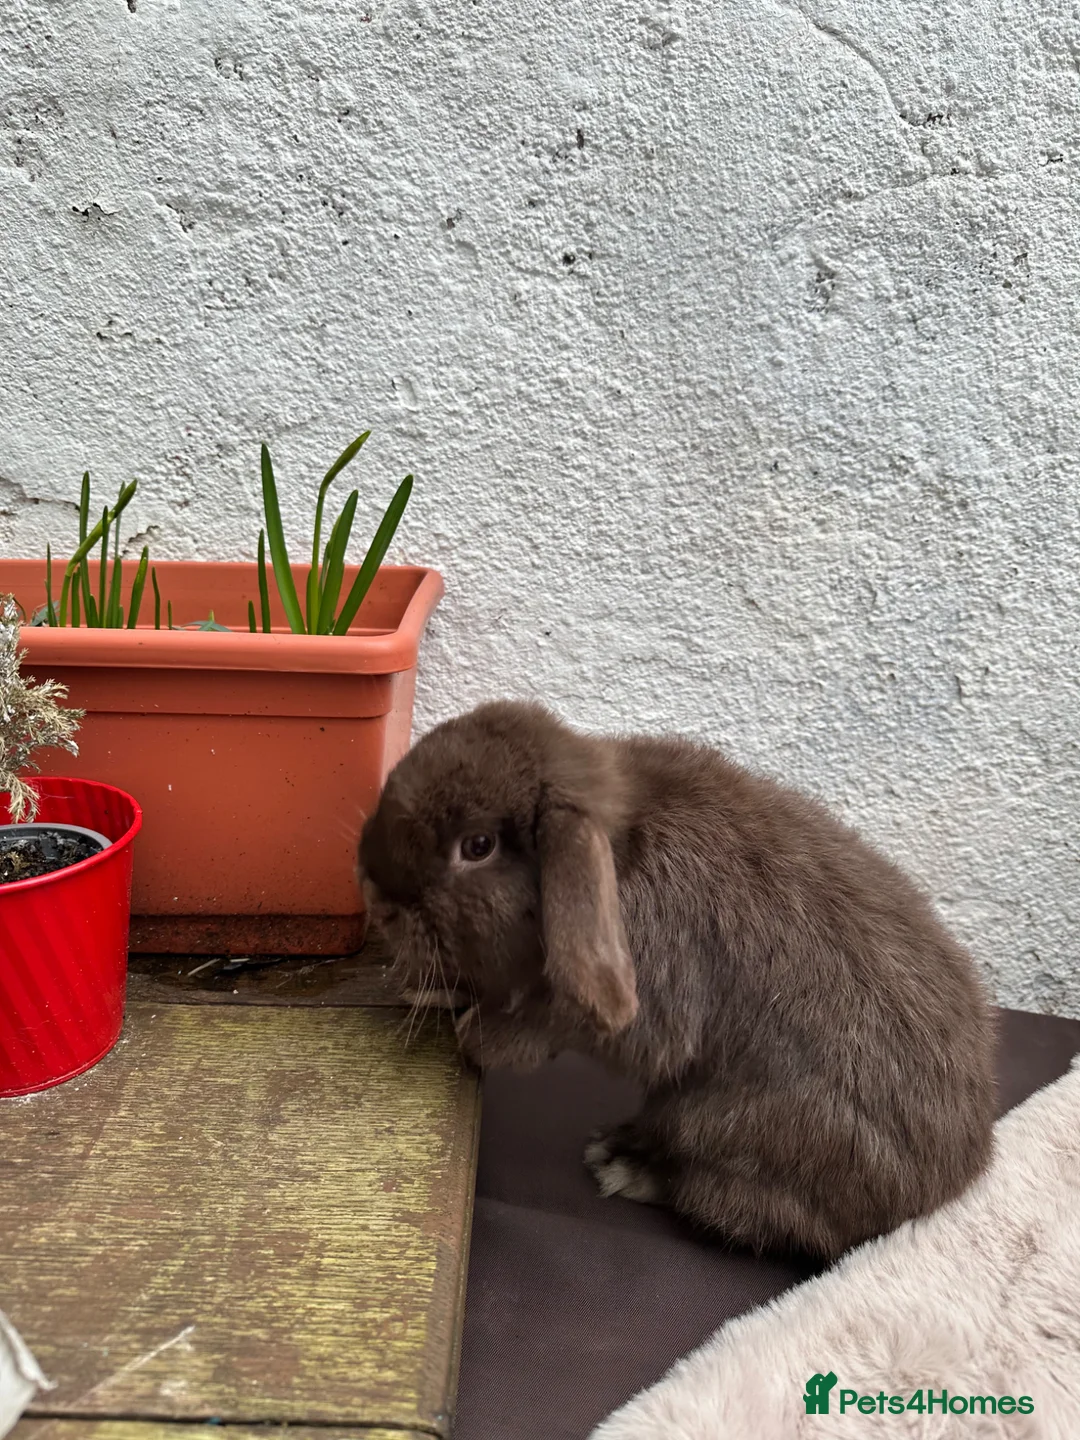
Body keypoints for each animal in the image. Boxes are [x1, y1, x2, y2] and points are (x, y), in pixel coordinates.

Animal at [359, 700, 996, 1261]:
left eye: (478, 846)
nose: (376, 899)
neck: (620, 850)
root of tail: (949, 1183)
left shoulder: (644, 992)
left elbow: (563, 1023)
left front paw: (475, 1035)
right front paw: (431, 990)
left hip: (723, 1126)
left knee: (733, 1204)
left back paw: (625, 1167)